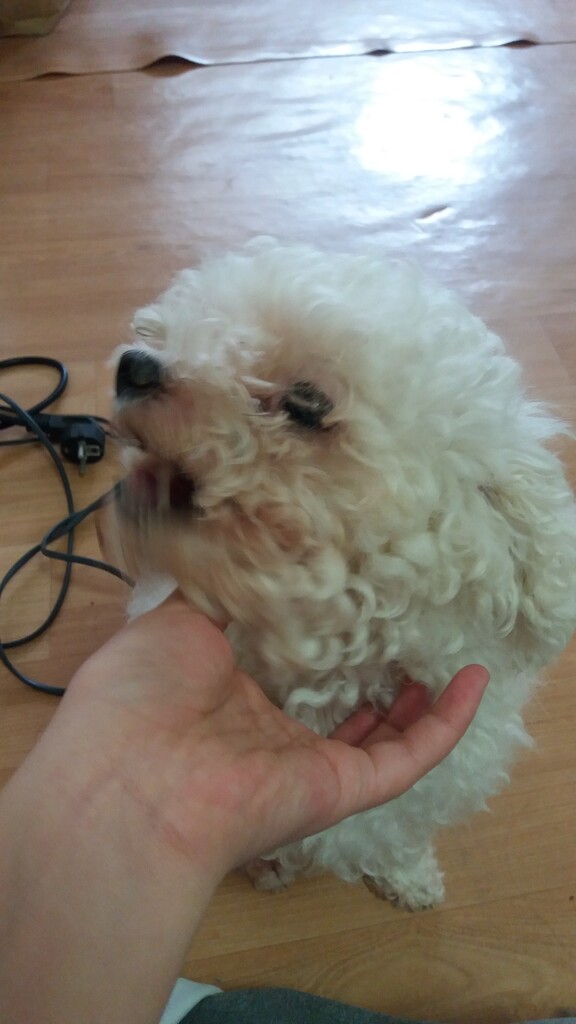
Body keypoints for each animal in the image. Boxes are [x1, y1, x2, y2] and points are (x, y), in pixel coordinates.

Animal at [108, 239, 576, 909]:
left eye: (307, 405)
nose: (135, 365)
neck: (325, 669)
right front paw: (270, 865)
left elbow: (399, 833)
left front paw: (410, 878)